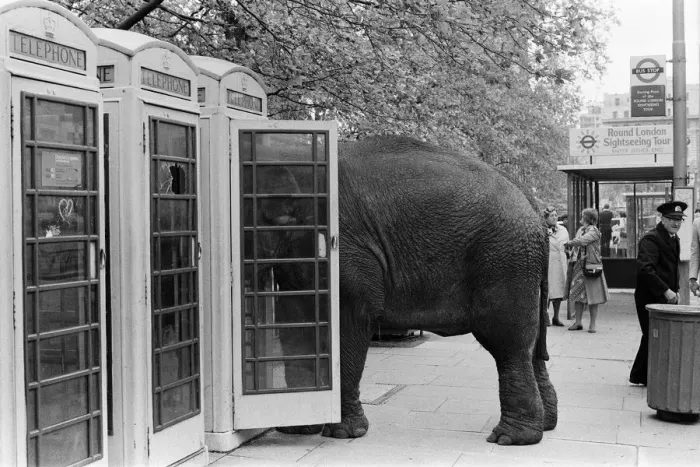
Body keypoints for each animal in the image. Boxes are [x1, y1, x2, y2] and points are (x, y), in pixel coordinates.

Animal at [258, 136, 557, 445]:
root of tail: (535, 209)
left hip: (504, 260)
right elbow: (296, 321)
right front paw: (296, 428)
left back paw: (510, 438)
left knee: (508, 341)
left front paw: (343, 433)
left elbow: (350, 315)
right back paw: (545, 426)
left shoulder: (345, 244)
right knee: (535, 347)